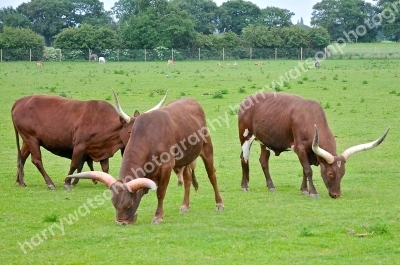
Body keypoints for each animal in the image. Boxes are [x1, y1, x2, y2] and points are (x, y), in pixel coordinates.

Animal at [11, 92, 167, 189]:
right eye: (130, 131)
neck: (102, 122)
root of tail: (19, 102)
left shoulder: (103, 149)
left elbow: (105, 168)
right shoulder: (80, 145)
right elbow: (74, 164)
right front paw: (68, 182)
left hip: (28, 140)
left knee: (22, 157)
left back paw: (20, 181)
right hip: (31, 138)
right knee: (36, 160)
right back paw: (50, 183)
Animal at [69, 92, 225, 224]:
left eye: (129, 204)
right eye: (114, 203)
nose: (121, 222)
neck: (148, 137)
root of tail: (192, 101)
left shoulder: (166, 168)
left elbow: (160, 193)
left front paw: (158, 217)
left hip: (207, 150)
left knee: (212, 175)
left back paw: (219, 203)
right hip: (185, 159)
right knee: (187, 178)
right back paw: (185, 206)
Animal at [239, 92, 390, 197]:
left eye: (343, 173)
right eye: (330, 173)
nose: (336, 195)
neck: (309, 119)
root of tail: (247, 99)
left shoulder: (309, 151)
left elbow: (304, 170)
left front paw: (304, 189)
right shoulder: (300, 148)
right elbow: (308, 170)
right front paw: (313, 192)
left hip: (265, 141)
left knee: (263, 161)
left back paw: (271, 186)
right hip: (245, 137)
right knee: (244, 159)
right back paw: (245, 186)